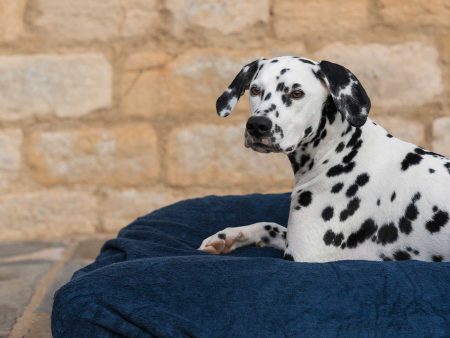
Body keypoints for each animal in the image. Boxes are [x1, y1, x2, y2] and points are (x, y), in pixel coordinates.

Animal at [199, 55, 450, 262]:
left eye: (296, 93)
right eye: (255, 90)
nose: (257, 125)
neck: (340, 153)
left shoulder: (303, 255)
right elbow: (268, 225)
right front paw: (229, 236)